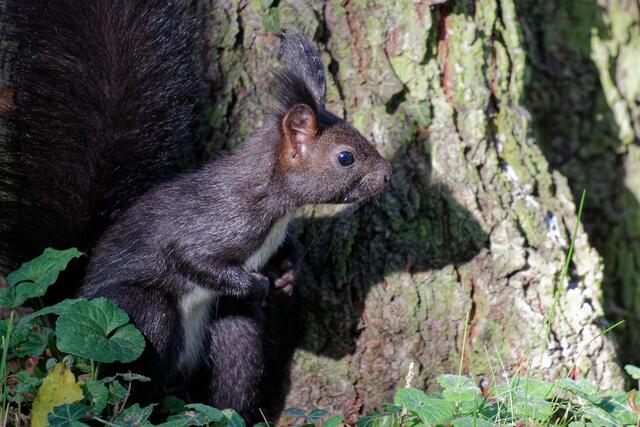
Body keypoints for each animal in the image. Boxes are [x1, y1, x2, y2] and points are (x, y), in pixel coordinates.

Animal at [1, 0, 391, 420]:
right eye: (345, 157)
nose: (386, 174)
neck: (275, 202)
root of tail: (69, 301)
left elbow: (286, 251)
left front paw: (287, 275)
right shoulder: (218, 221)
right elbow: (190, 257)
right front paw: (258, 284)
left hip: (228, 333)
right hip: (139, 314)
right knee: (132, 372)